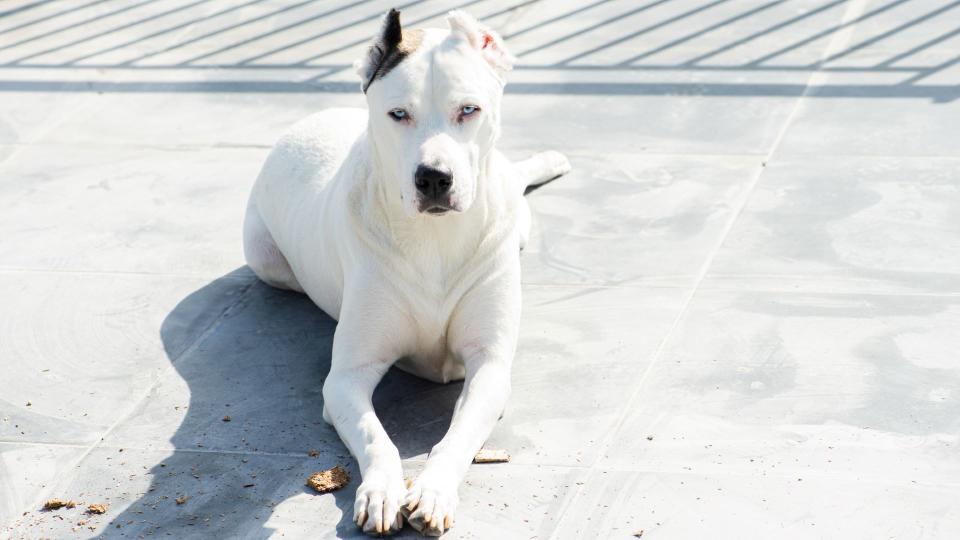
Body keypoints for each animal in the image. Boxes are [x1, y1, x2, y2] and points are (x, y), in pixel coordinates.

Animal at [244, 8, 568, 536]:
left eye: (469, 110)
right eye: (398, 114)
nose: (434, 178)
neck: (434, 239)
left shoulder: (490, 368)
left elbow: (458, 436)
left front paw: (433, 491)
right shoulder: (346, 379)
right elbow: (377, 438)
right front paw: (381, 491)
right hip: (265, 259)